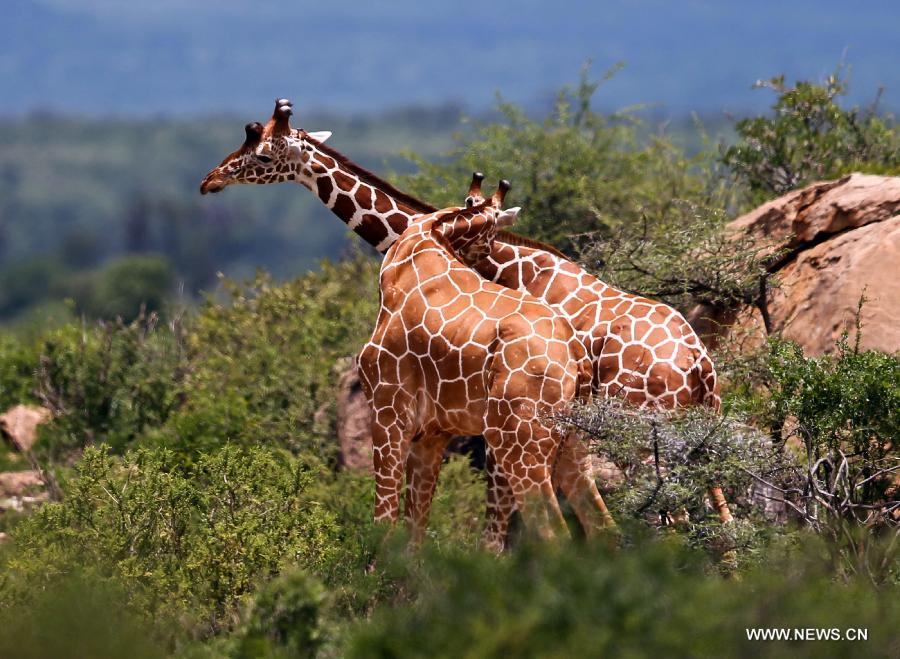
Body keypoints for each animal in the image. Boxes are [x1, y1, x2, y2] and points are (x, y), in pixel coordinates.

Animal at [356, 178, 596, 544]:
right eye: (489, 241)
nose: (482, 261)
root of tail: (574, 354)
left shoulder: (388, 412)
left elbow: (383, 525)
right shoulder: (432, 434)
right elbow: (414, 533)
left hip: (518, 439)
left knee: (553, 532)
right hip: (572, 441)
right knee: (603, 528)